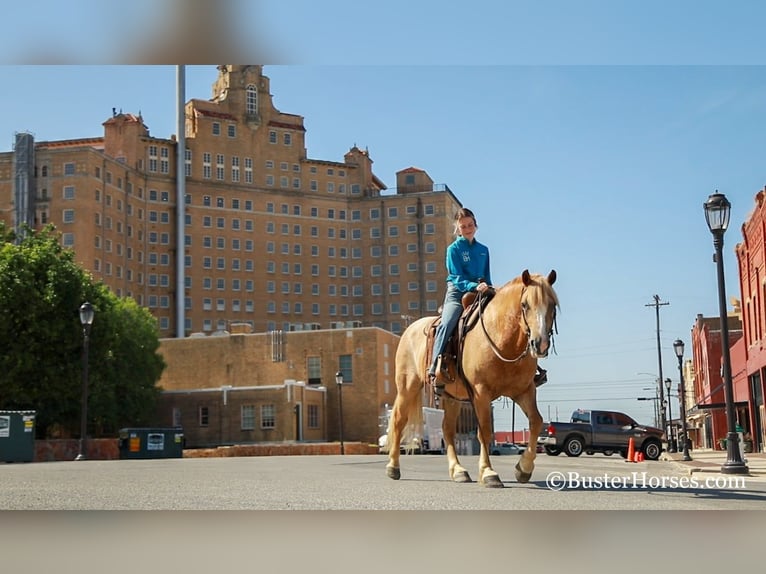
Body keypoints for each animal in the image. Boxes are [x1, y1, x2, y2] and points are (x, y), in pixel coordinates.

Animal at [384, 272, 560, 488]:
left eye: (552, 305)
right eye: (525, 304)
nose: (540, 344)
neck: (502, 340)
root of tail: (409, 329)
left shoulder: (524, 391)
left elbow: (536, 421)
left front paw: (523, 468)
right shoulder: (480, 392)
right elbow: (484, 430)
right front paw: (488, 473)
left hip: (452, 397)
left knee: (447, 429)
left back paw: (458, 471)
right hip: (407, 387)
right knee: (399, 420)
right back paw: (393, 467)